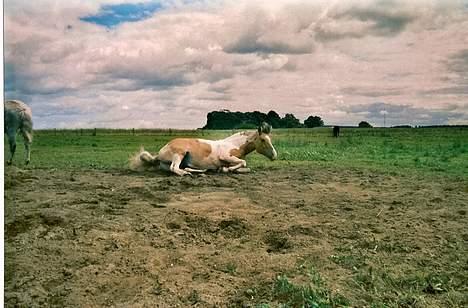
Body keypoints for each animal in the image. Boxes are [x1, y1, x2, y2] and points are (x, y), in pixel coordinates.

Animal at [131, 122, 278, 176]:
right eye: (263, 140)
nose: (274, 156)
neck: (233, 145)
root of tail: (160, 152)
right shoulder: (226, 156)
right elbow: (243, 163)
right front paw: (225, 169)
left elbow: (246, 167)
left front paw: (225, 169)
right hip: (179, 154)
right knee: (175, 168)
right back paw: (186, 174)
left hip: (175, 162)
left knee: (183, 167)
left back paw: (201, 171)